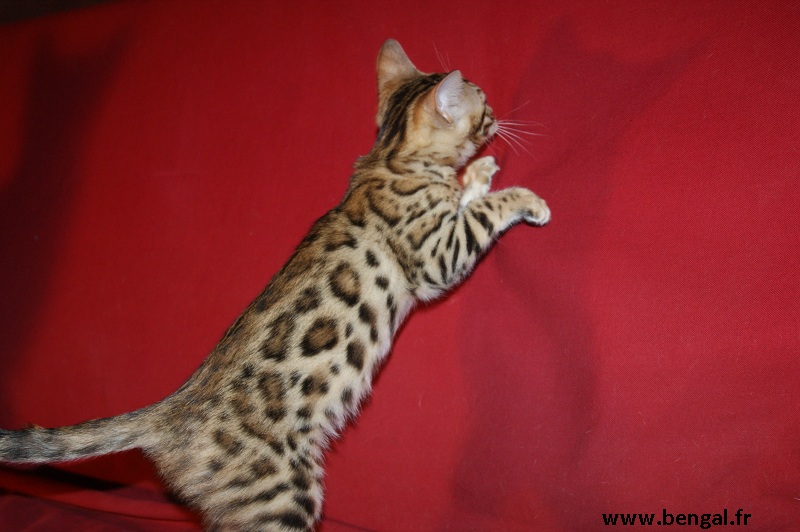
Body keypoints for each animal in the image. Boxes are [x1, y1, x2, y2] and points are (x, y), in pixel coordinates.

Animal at [0, 39, 550, 531]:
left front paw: (477, 172)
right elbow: (481, 212)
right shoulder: (436, 254)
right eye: (484, 105)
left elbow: (465, 196)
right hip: (282, 494)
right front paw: (523, 197)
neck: (390, 155)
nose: (499, 116)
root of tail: (169, 412)